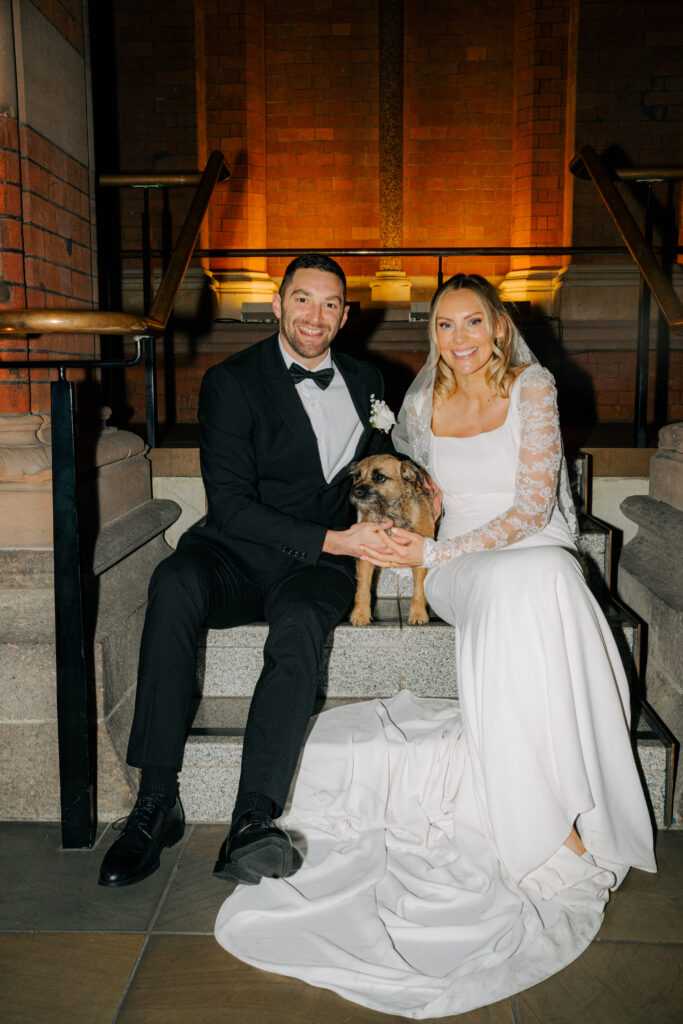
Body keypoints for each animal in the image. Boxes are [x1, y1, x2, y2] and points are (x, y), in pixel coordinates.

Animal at [350, 454, 436, 622]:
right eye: (357, 476)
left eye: (379, 477)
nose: (356, 492)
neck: (390, 514)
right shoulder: (366, 556)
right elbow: (362, 587)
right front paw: (360, 614)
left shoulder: (420, 553)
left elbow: (419, 588)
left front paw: (418, 614)